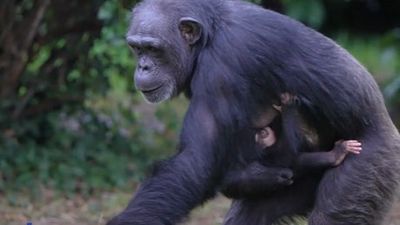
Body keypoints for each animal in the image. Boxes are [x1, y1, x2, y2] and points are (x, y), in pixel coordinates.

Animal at [106, 0, 400, 225]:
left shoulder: (222, 67)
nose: (143, 66)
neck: (208, 37)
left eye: (153, 49)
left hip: (369, 164)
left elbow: (195, 160)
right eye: (137, 48)